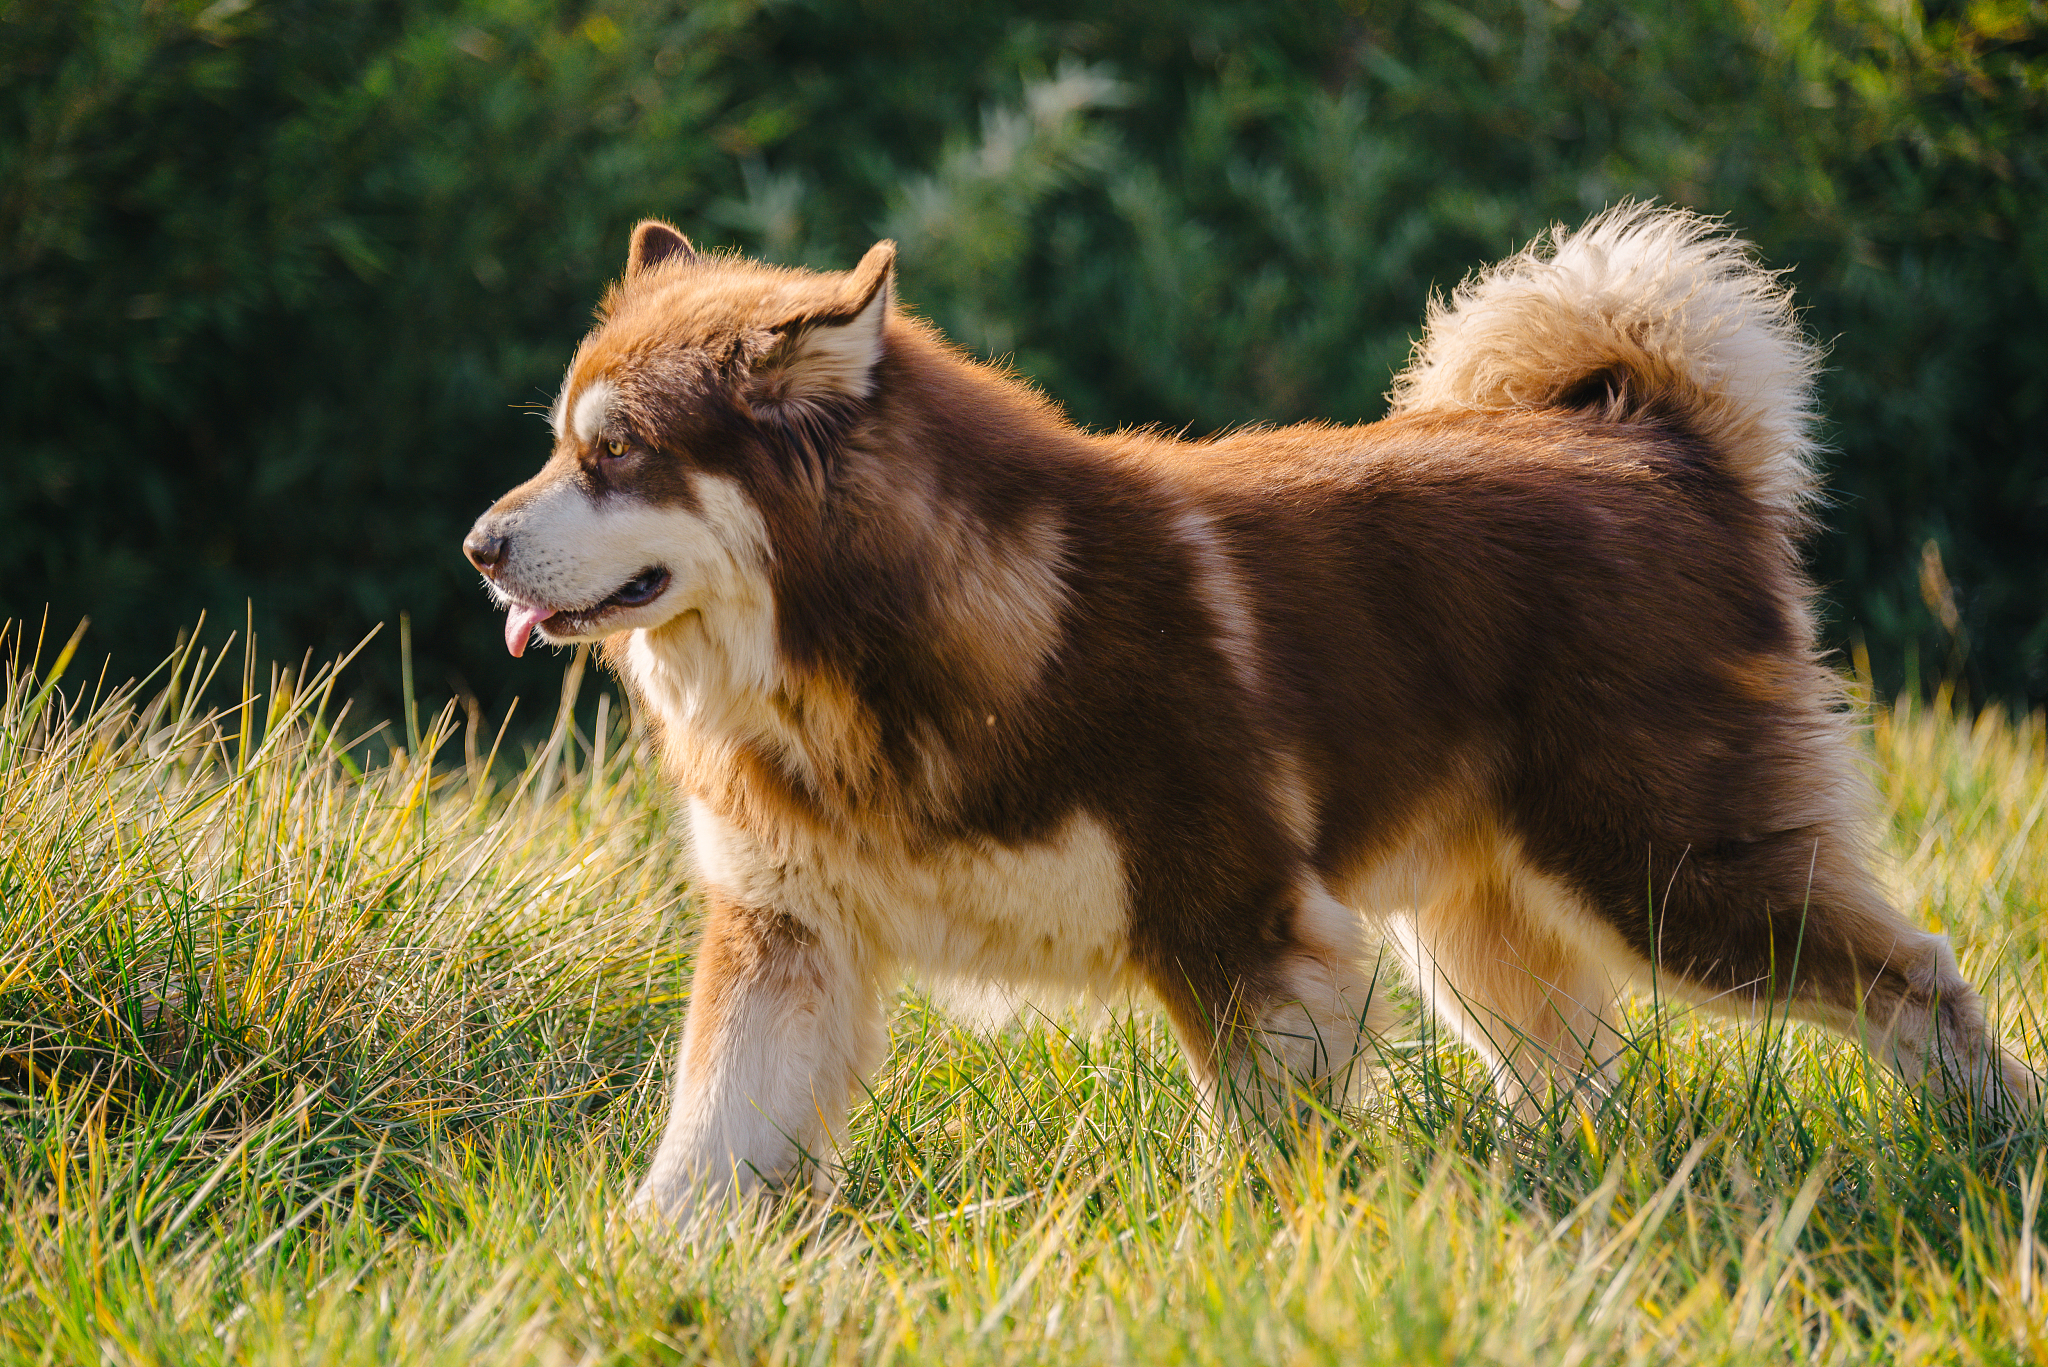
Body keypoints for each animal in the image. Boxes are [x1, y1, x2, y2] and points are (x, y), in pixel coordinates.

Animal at [460, 205, 2031, 1221]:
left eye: (618, 454)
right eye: (561, 445)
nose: (478, 545)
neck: (873, 653)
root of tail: (1658, 443)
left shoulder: (1240, 929)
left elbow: (1255, 1158)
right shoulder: (787, 931)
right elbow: (706, 1142)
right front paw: (645, 1266)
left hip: (1670, 882)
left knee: (1919, 978)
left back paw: (1995, 1144)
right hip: (1484, 928)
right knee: (1579, 1078)